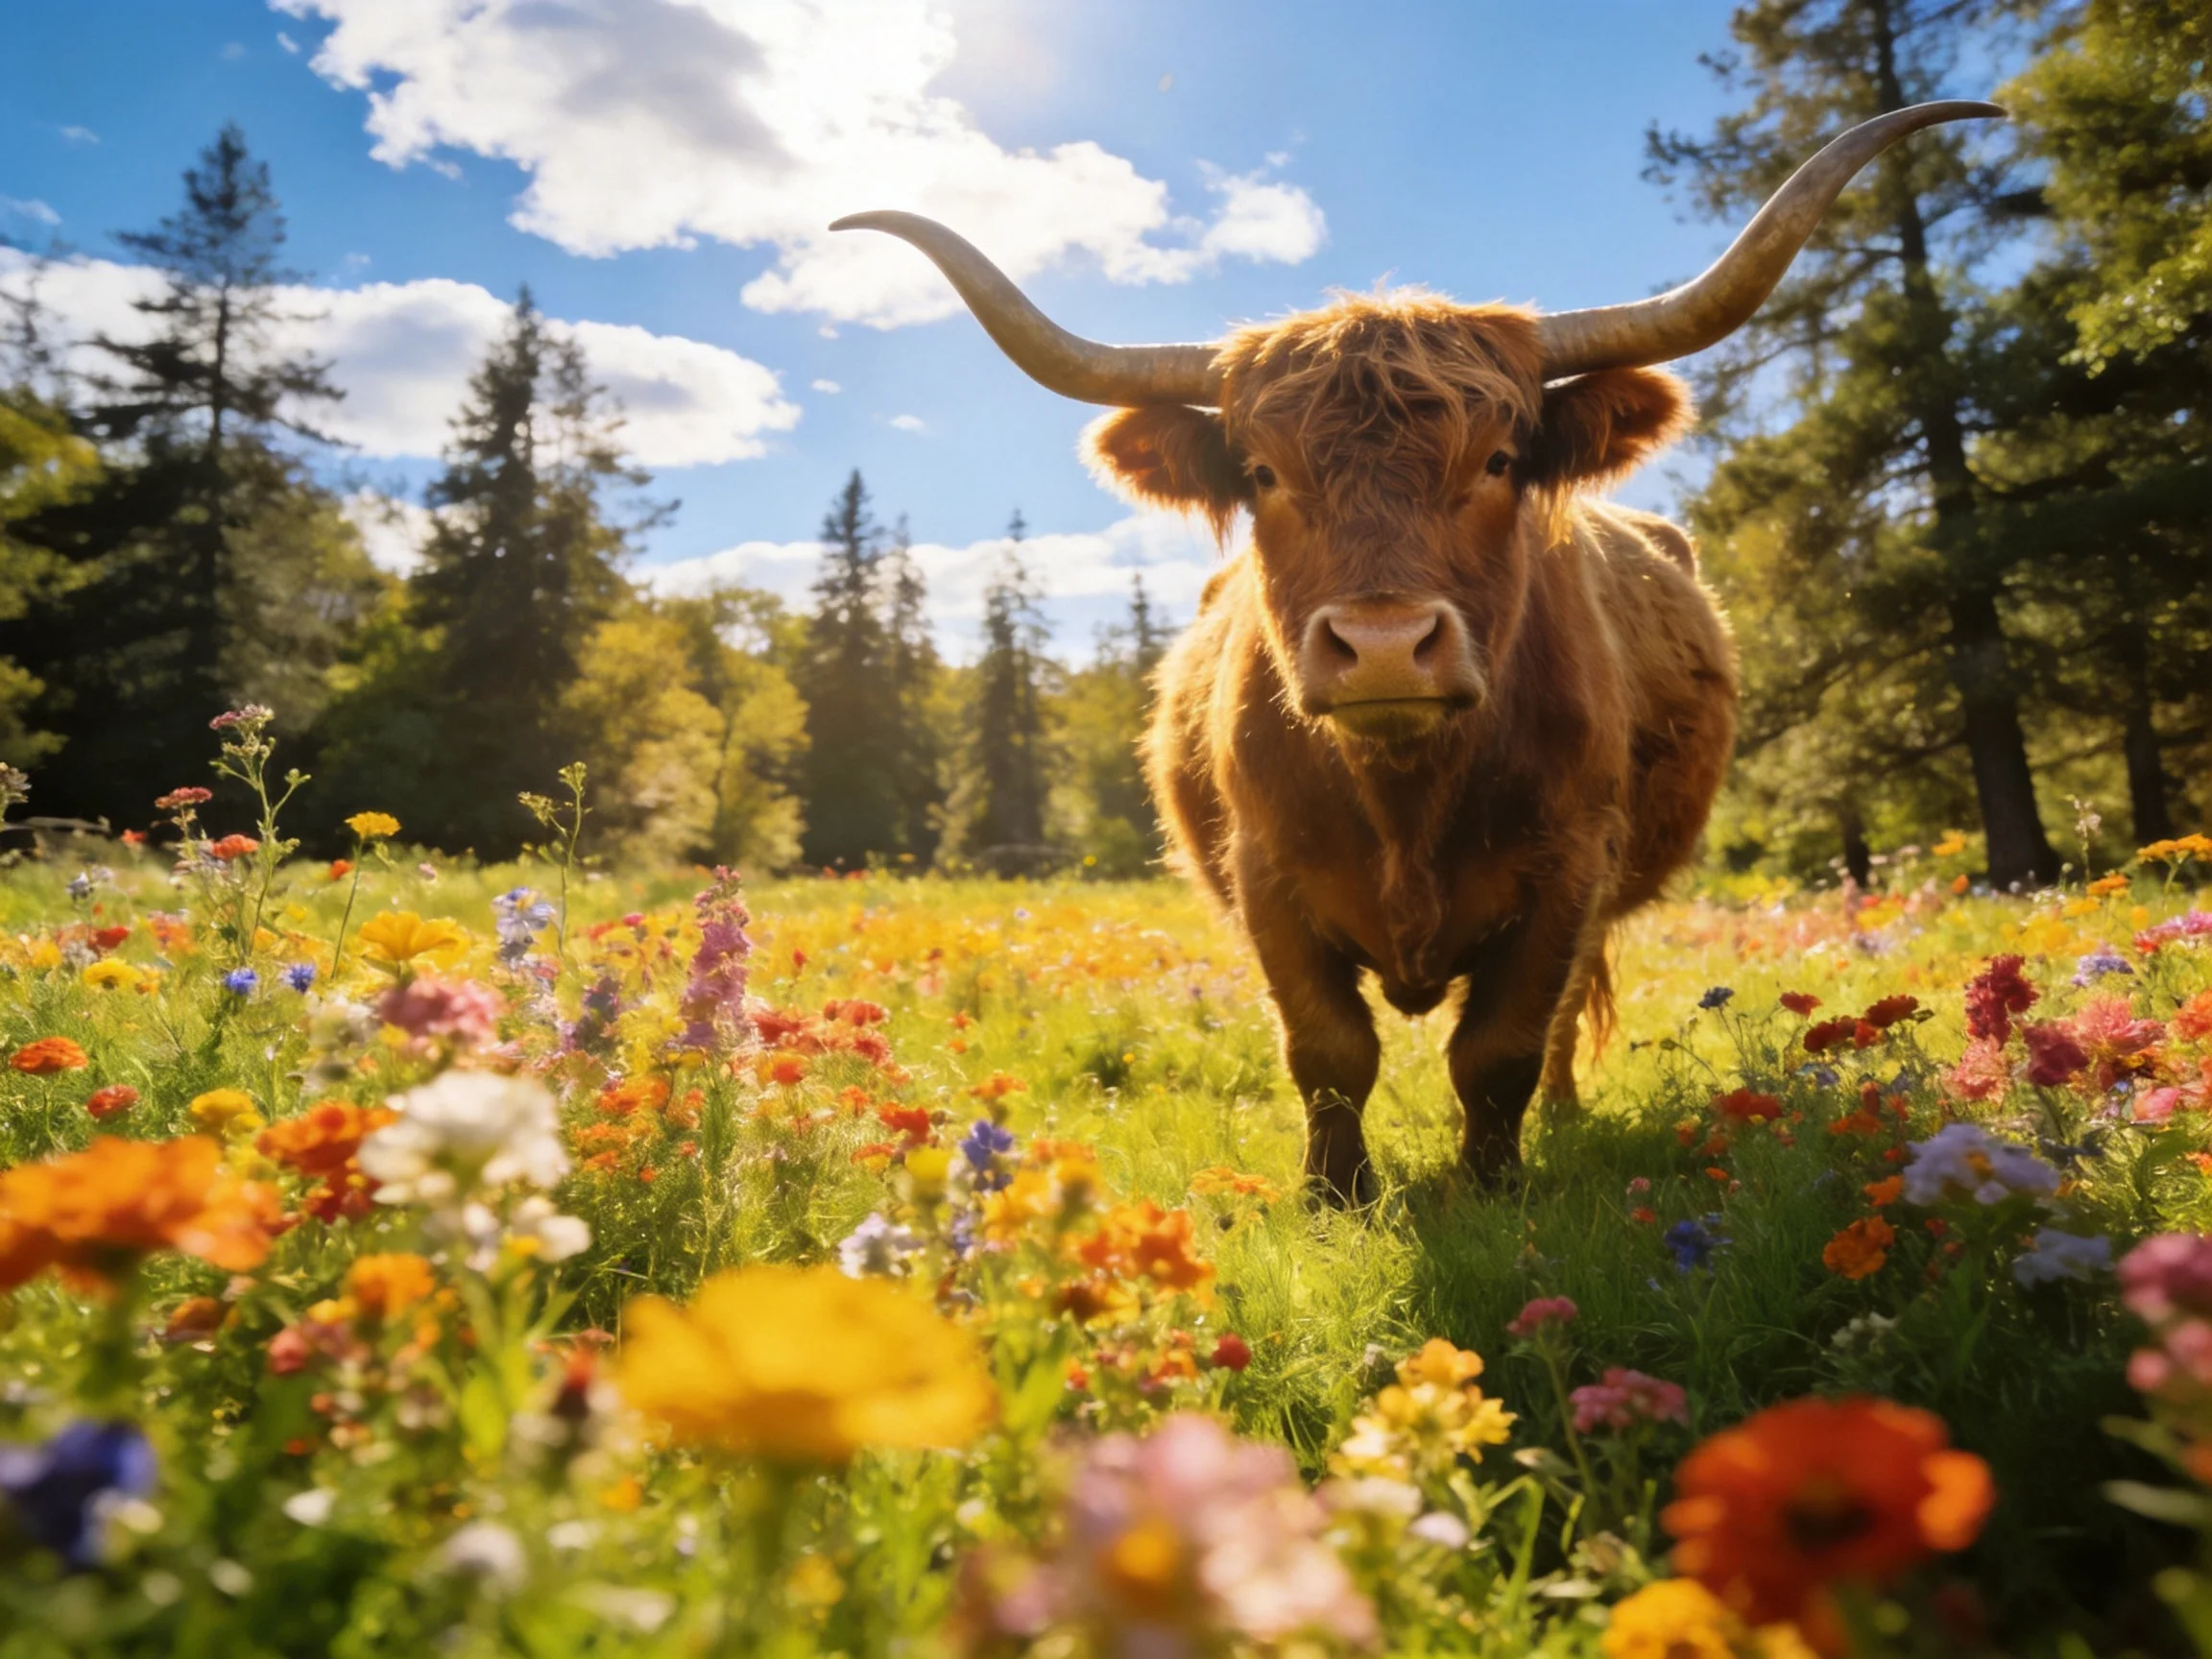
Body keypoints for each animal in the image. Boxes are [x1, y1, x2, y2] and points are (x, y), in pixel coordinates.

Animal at [835, 102, 2002, 1204]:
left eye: (1497, 460)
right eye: (1262, 472)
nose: (1386, 646)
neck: (1404, 797)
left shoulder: (1568, 870)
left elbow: (1501, 1048)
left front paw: (1490, 1186)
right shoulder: (1266, 874)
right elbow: (1328, 1049)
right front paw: (1336, 1195)